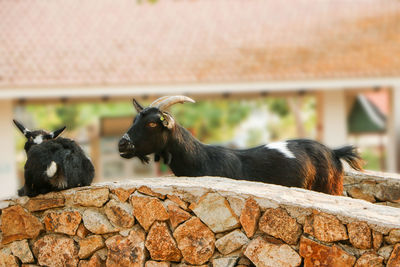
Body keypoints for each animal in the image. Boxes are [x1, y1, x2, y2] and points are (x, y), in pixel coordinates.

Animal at [117, 95, 364, 196]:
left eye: (151, 123)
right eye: (134, 119)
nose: (122, 144)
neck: (202, 159)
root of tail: (333, 151)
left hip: (330, 187)